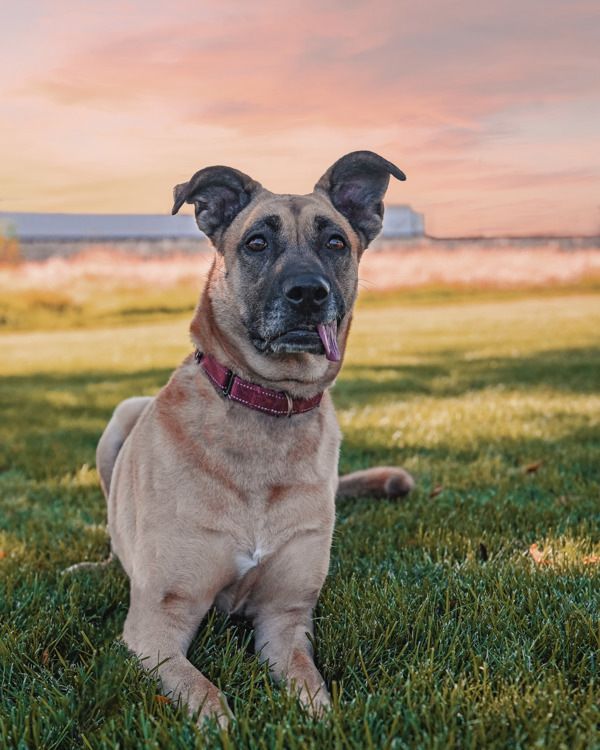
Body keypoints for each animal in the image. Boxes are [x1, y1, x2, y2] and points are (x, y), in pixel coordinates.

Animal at [96, 153, 414, 728]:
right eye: (257, 242)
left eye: (336, 242)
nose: (308, 293)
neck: (267, 403)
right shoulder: (157, 625)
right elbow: (204, 694)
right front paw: (223, 723)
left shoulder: (285, 620)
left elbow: (312, 689)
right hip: (122, 415)